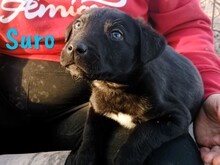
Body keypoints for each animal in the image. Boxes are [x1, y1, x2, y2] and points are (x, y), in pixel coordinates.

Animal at [59, 7, 203, 165]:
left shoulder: (177, 116)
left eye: (116, 34)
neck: (113, 88)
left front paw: (124, 159)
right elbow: (90, 132)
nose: (74, 48)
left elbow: (142, 134)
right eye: (78, 24)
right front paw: (84, 158)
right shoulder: (95, 107)